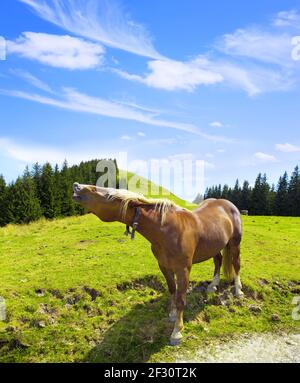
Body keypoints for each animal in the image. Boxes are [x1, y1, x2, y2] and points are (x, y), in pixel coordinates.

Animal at [72, 184, 244, 346]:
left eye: (108, 195)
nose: (77, 187)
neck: (166, 231)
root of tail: (228, 204)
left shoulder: (183, 269)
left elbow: (181, 298)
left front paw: (177, 332)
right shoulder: (164, 266)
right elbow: (172, 290)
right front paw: (172, 314)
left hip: (235, 244)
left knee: (236, 265)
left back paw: (238, 290)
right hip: (215, 245)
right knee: (218, 260)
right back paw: (212, 285)